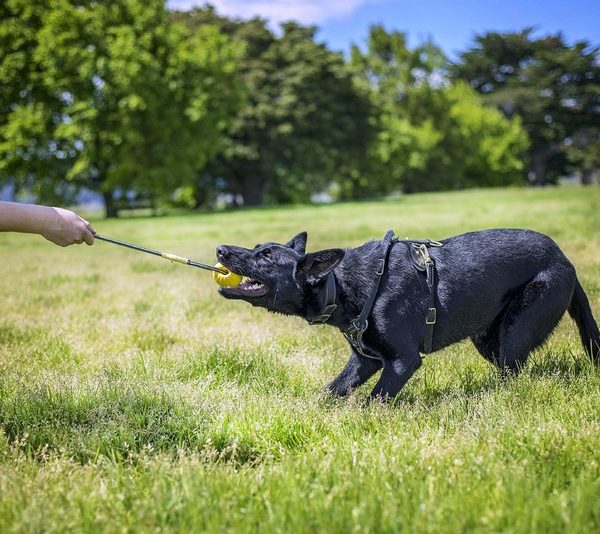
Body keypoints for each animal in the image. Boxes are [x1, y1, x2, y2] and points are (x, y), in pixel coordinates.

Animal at [217, 230, 600, 402]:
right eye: (256, 248)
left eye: (266, 256)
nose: (221, 249)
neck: (343, 284)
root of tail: (564, 259)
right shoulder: (364, 361)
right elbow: (332, 391)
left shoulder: (402, 362)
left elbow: (373, 401)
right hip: (487, 338)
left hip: (516, 331)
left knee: (514, 371)